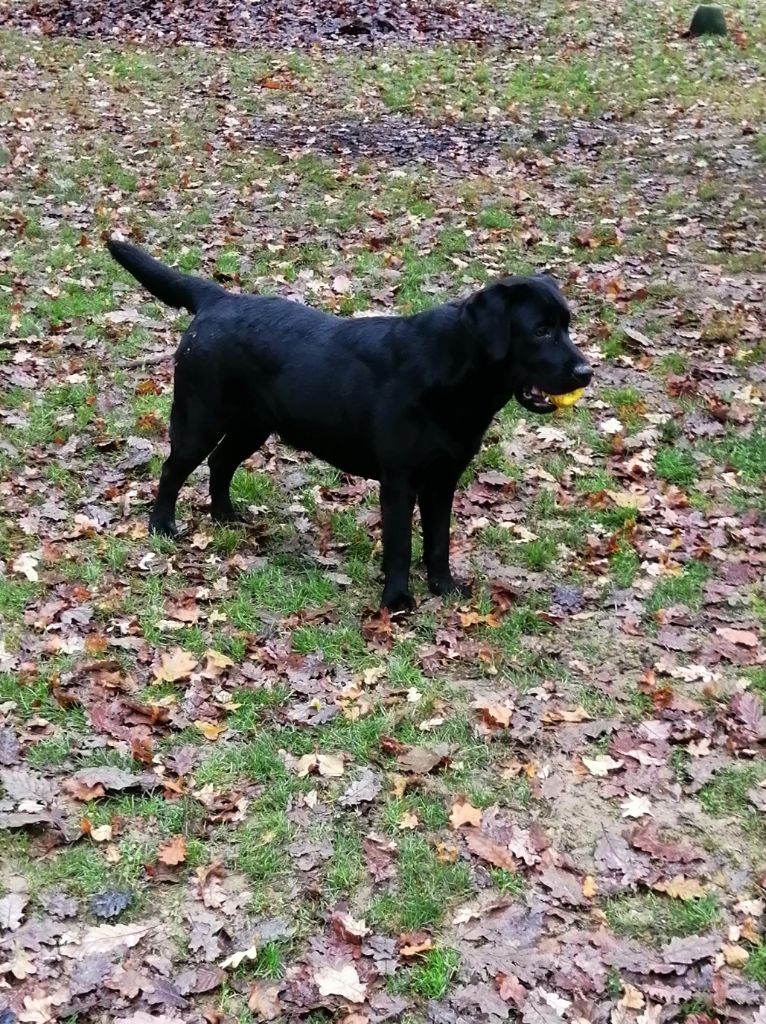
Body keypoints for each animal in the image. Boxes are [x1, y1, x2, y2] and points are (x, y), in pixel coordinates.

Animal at [105, 237, 593, 606]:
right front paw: (397, 602)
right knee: (173, 468)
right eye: (540, 331)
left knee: (220, 464)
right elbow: (400, 545)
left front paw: (445, 588)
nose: (586, 371)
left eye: (567, 326)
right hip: (200, 418)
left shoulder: (443, 479)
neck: (453, 376)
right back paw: (162, 527)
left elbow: (438, 541)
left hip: (251, 426)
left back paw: (226, 517)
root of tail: (218, 299)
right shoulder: (400, 480)